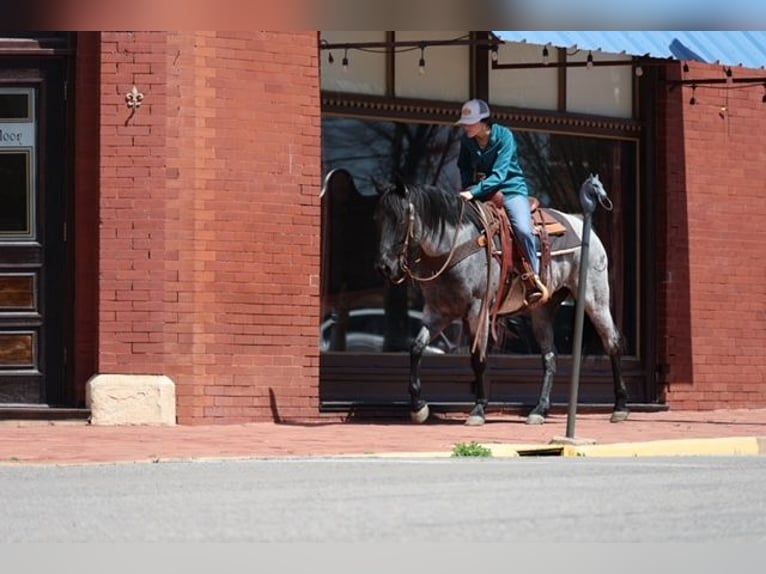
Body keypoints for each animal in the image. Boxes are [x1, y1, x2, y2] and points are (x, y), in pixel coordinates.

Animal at [373, 175, 629, 426]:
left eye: (401, 220)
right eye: (380, 218)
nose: (385, 267)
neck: (454, 246)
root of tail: (584, 227)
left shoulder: (478, 310)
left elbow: (478, 358)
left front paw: (478, 409)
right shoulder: (438, 312)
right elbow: (416, 348)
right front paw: (418, 407)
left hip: (594, 299)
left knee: (612, 343)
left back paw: (620, 407)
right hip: (542, 312)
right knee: (550, 357)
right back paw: (539, 410)